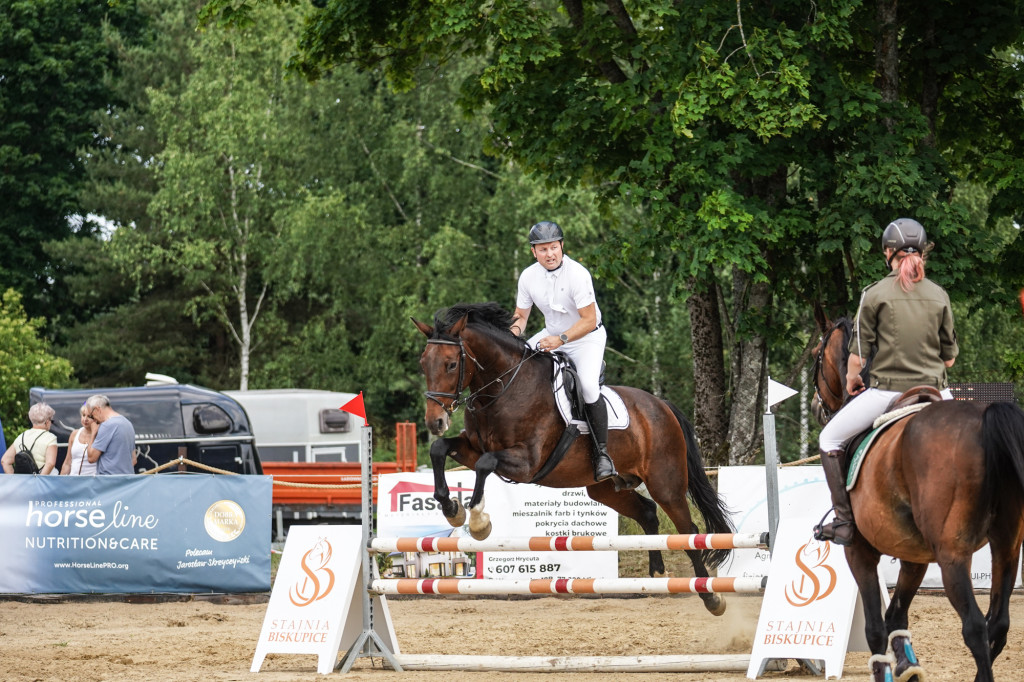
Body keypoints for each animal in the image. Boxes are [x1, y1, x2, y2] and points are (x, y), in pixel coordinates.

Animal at [411, 301, 733, 614]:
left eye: (452, 364)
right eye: (423, 363)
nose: (435, 422)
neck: (502, 388)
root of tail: (662, 405)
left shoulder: (526, 463)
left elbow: (484, 464)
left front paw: (478, 521)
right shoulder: (472, 447)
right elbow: (440, 450)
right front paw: (452, 509)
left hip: (665, 482)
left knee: (688, 531)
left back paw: (711, 597)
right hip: (607, 488)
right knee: (648, 513)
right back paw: (658, 575)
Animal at [815, 315, 1024, 675]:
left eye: (815, 355)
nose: (816, 407)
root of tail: (983, 418)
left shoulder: (859, 552)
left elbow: (875, 627)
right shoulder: (913, 556)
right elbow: (896, 617)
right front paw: (906, 666)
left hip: (953, 557)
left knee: (974, 627)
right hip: (1007, 550)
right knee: (998, 623)